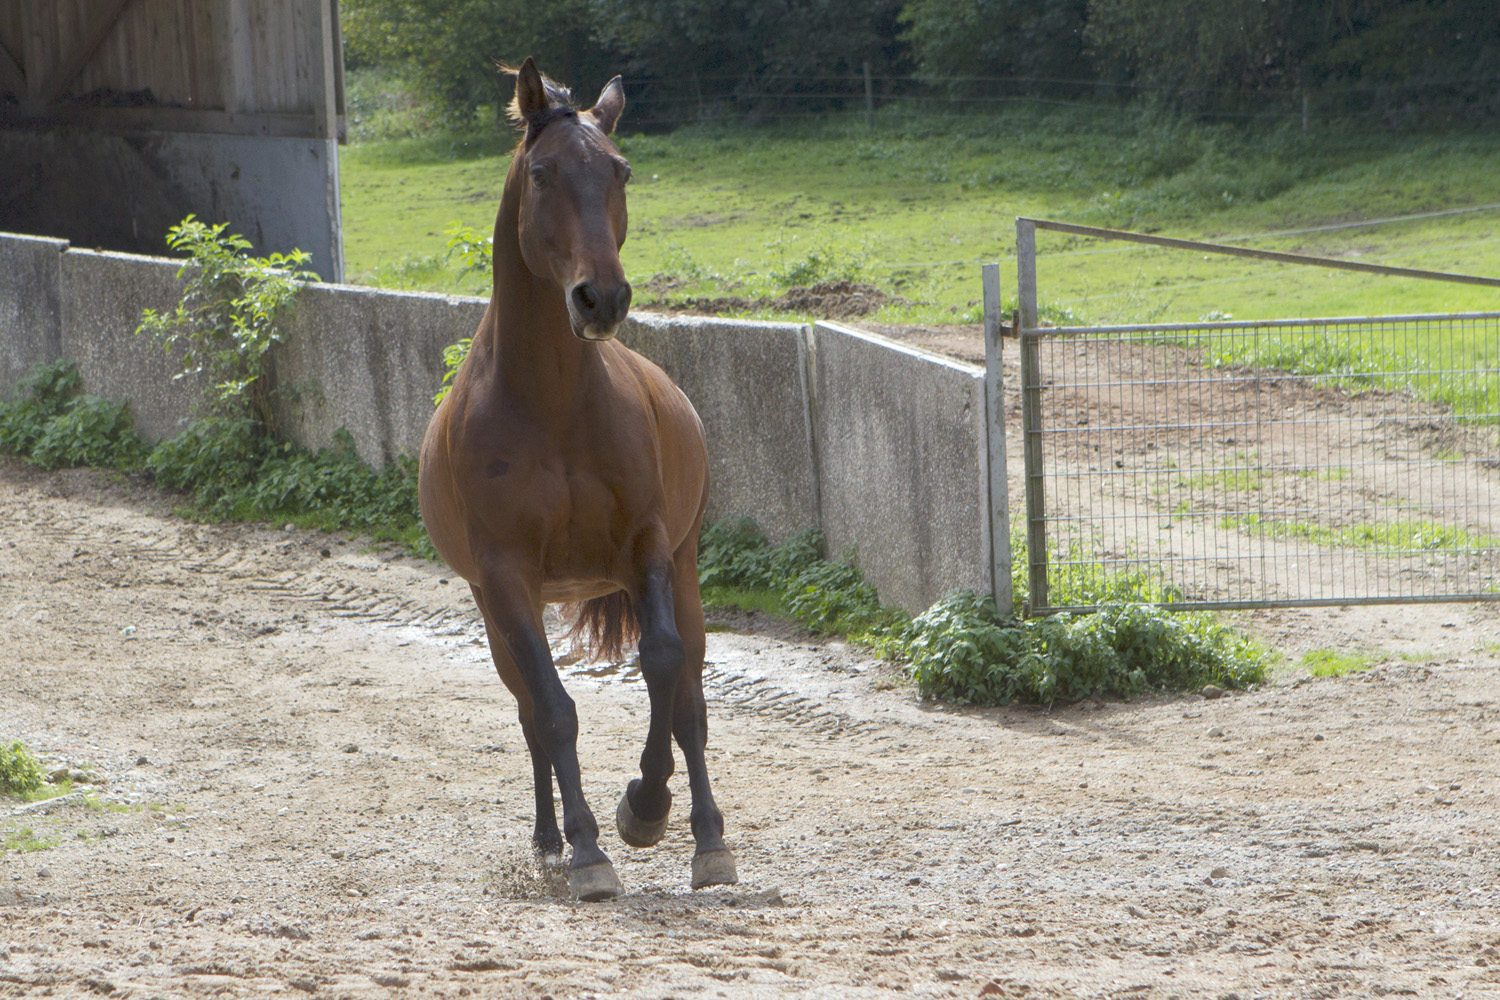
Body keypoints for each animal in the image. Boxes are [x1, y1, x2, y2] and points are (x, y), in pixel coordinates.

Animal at [418, 58, 736, 902]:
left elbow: (663, 669)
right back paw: (552, 840)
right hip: (500, 610)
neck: (554, 404)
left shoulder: (648, 546)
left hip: (683, 571)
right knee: (532, 712)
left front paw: (646, 809)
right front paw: (591, 852)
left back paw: (709, 837)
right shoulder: (505, 578)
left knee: (689, 698)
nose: (603, 296)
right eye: (542, 173)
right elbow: (554, 712)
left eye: (619, 171)